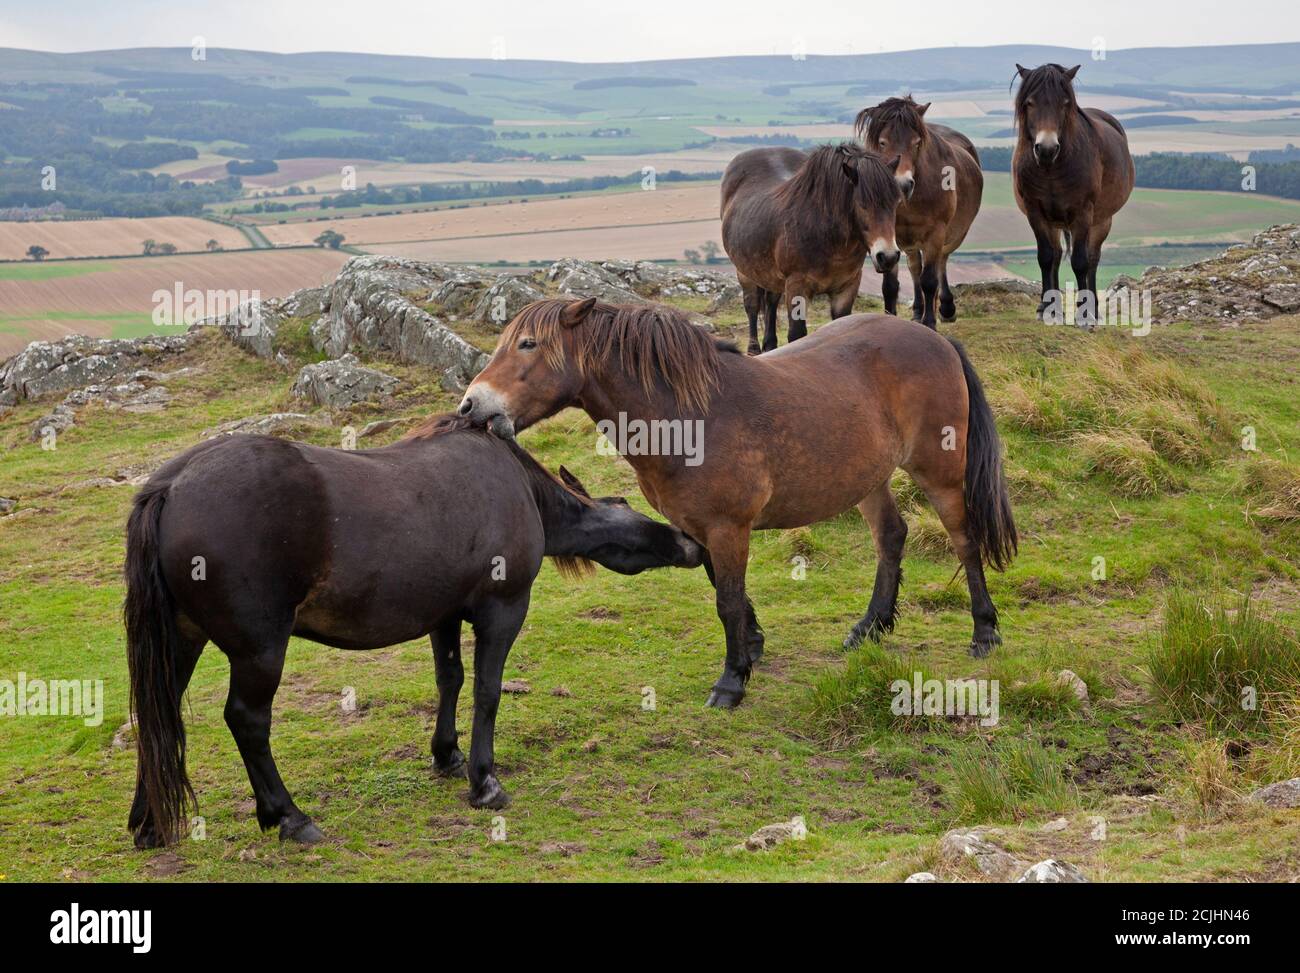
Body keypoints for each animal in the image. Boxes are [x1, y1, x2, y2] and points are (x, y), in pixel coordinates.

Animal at [457, 296, 1013, 707]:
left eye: (528, 343)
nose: (470, 405)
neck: (688, 416)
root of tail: (937, 340)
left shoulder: (728, 527)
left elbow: (725, 599)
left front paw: (731, 680)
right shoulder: (699, 527)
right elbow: (722, 588)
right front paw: (752, 645)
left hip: (940, 474)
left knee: (965, 541)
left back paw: (984, 632)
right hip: (868, 478)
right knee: (891, 537)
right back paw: (869, 627)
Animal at [717, 142, 899, 356]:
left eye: (895, 203)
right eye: (863, 205)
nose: (888, 257)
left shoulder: (847, 286)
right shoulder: (797, 285)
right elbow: (796, 334)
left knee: (771, 302)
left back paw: (770, 345)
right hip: (744, 272)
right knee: (752, 305)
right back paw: (754, 349)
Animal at [852, 96, 982, 329]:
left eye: (916, 143)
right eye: (882, 142)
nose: (902, 184)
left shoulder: (936, 233)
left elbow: (929, 280)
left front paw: (929, 322)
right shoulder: (888, 236)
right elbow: (890, 285)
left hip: (952, 236)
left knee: (941, 262)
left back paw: (945, 308)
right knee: (914, 267)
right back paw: (917, 310)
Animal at [1008, 67, 1133, 330]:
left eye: (1065, 103)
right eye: (1029, 103)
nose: (1046, 149)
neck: (1051, 169)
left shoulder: (1082, 213)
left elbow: (1080, 261)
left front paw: (1084, 316)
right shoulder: (1036, 212)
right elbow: (1046, 257)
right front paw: (1048, 311)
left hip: (1101, 220)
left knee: (1093, 259)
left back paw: (1091, 309)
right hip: (1053, 221)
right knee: (1056, 256)